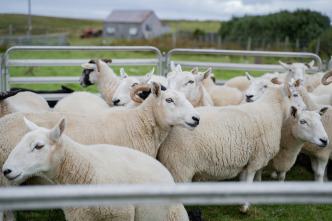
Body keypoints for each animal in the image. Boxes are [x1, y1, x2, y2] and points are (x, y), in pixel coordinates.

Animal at [158, 80, 298, 212]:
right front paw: (244, 207)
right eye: (294, 94)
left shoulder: (248, 159)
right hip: (179, 168)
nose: (297, 110)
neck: (273, 110)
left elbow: (243, 180)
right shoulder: (257, 159)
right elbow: (249, 180)